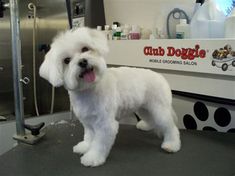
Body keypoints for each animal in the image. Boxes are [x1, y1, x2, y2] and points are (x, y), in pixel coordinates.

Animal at [39, 26, 181, 167]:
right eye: (67, 60)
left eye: (85, 49)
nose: (83, 62)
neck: (89, 89)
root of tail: (161, 76)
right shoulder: (88, 122)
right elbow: (89, 137)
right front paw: (85, 146)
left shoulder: (105, 124)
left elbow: (99, 143)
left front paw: (93, 157)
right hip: (144, 108)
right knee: (150, 118)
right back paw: (146, 126)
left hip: (159, 108)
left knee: (170, 127)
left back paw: (171, 144)